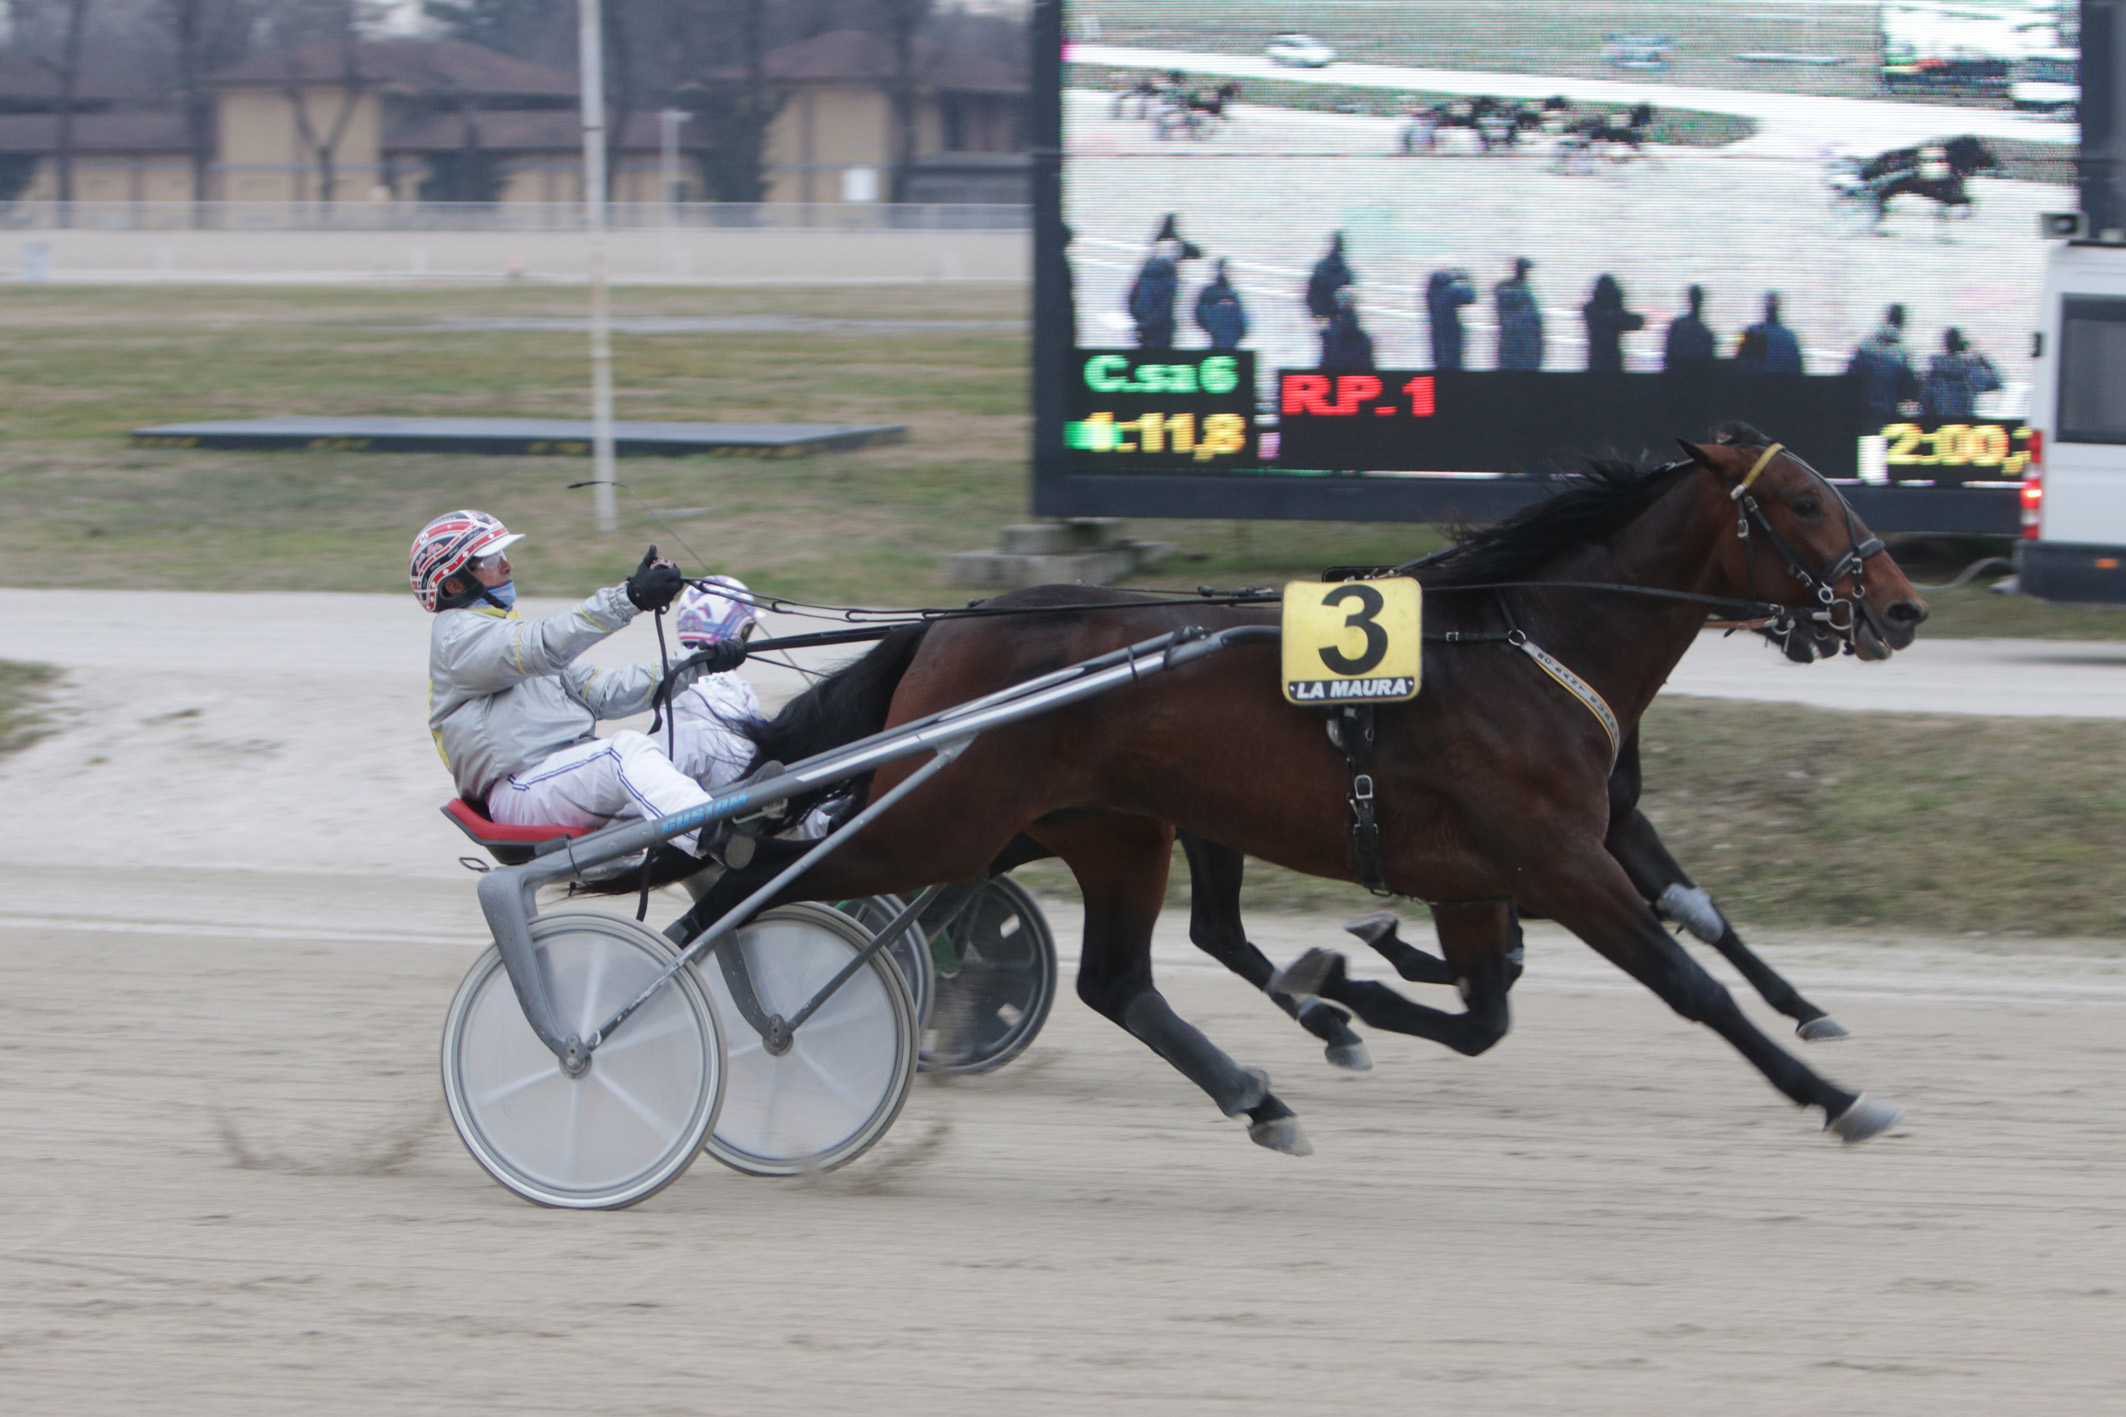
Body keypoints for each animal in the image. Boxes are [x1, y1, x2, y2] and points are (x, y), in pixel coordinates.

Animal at [684, 439, 1930, 1155]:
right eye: (1806, 503)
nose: (1900, 605)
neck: (1525, 647)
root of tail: (944, 629)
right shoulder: (1560, 860)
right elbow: (1686, 984)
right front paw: (1832, 1093)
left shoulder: (1503, 867)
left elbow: (1499, 1004)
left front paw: (1343, 985)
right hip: (945, 815)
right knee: (750, 884)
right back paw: (739, 1010)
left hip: (1100, 828)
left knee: (1115, 977)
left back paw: (1259, 1094)